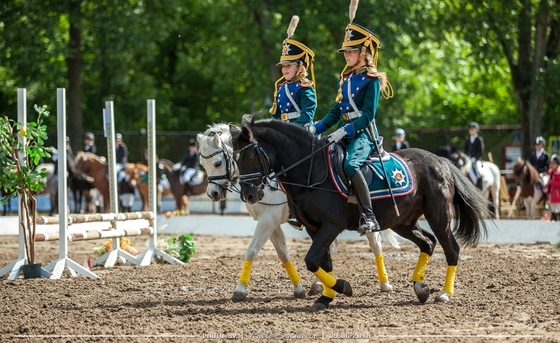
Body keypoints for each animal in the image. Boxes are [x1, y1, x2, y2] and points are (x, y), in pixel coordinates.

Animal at [197, 125, 398, 302]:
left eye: (217, 163)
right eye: (202, 164)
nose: (212, 194)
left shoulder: (268, 220)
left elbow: (252, 251)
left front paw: (239, 290)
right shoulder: (271, 223)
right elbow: (283, 254)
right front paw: (298, 288)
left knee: (375, 243)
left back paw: (384, 284)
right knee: (331, 247)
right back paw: (321, 285)